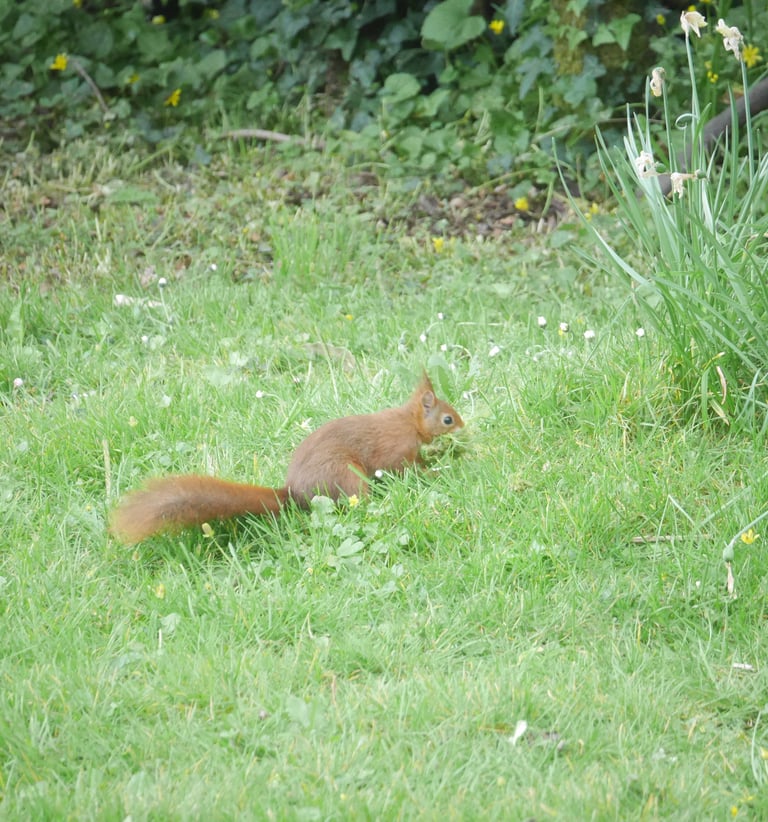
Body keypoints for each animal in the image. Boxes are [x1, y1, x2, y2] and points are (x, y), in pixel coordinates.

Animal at [109, 372, 464, 544]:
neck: (409, 422)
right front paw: (435, 471)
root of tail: (295, 494)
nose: (463, 426)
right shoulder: (396, 450)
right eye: (448, 419)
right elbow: (407, 468)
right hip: (347, 476)